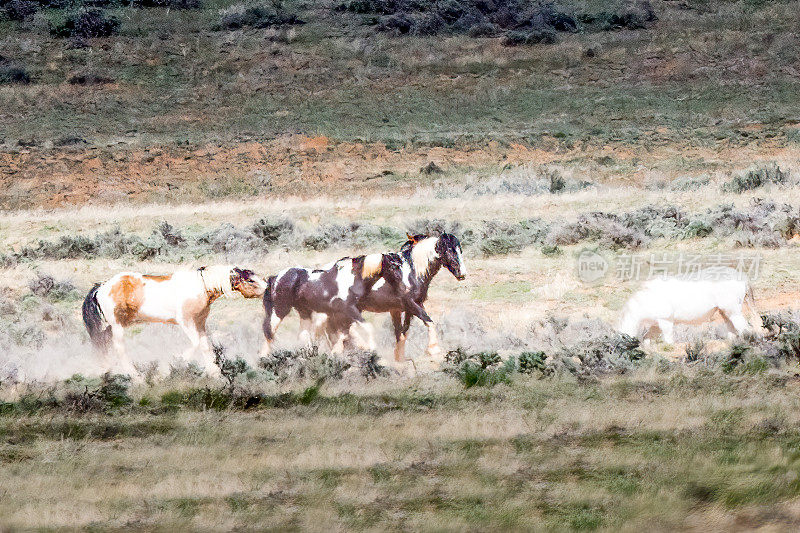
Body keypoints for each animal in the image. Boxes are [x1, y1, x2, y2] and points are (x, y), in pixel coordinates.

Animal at [83, 264, 268, 376]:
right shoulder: (186, 322)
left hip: (108, 328)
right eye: (250, 279)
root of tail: (101, 287)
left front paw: (214, 374)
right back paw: (137, 378)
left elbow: (205, 346)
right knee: (120, 351)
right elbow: (195, 345)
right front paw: (170, 368)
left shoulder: (200, 323)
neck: (201, 286)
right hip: (117, 327)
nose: (267, 288)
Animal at [620, 266, 756, 344]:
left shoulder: (666, 320)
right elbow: (648, 338)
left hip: (733, 310)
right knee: (732, 327)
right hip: (725, 312)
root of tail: (741, 276)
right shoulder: (656, 323)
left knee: (744, 328)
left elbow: (668, 338)